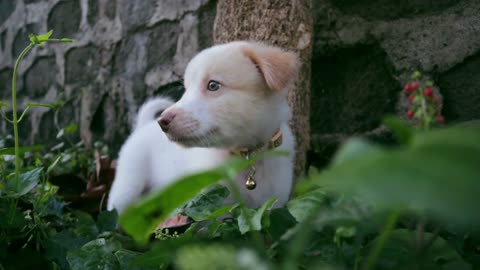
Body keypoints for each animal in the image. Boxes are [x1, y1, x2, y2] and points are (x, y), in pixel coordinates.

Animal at [107, 41, 298, 214]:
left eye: (213, 85)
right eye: (186, 89)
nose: (162, 122)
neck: (245, 156)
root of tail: (143, 126)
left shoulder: (272, 205)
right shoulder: (213, 208)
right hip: (126, 188)